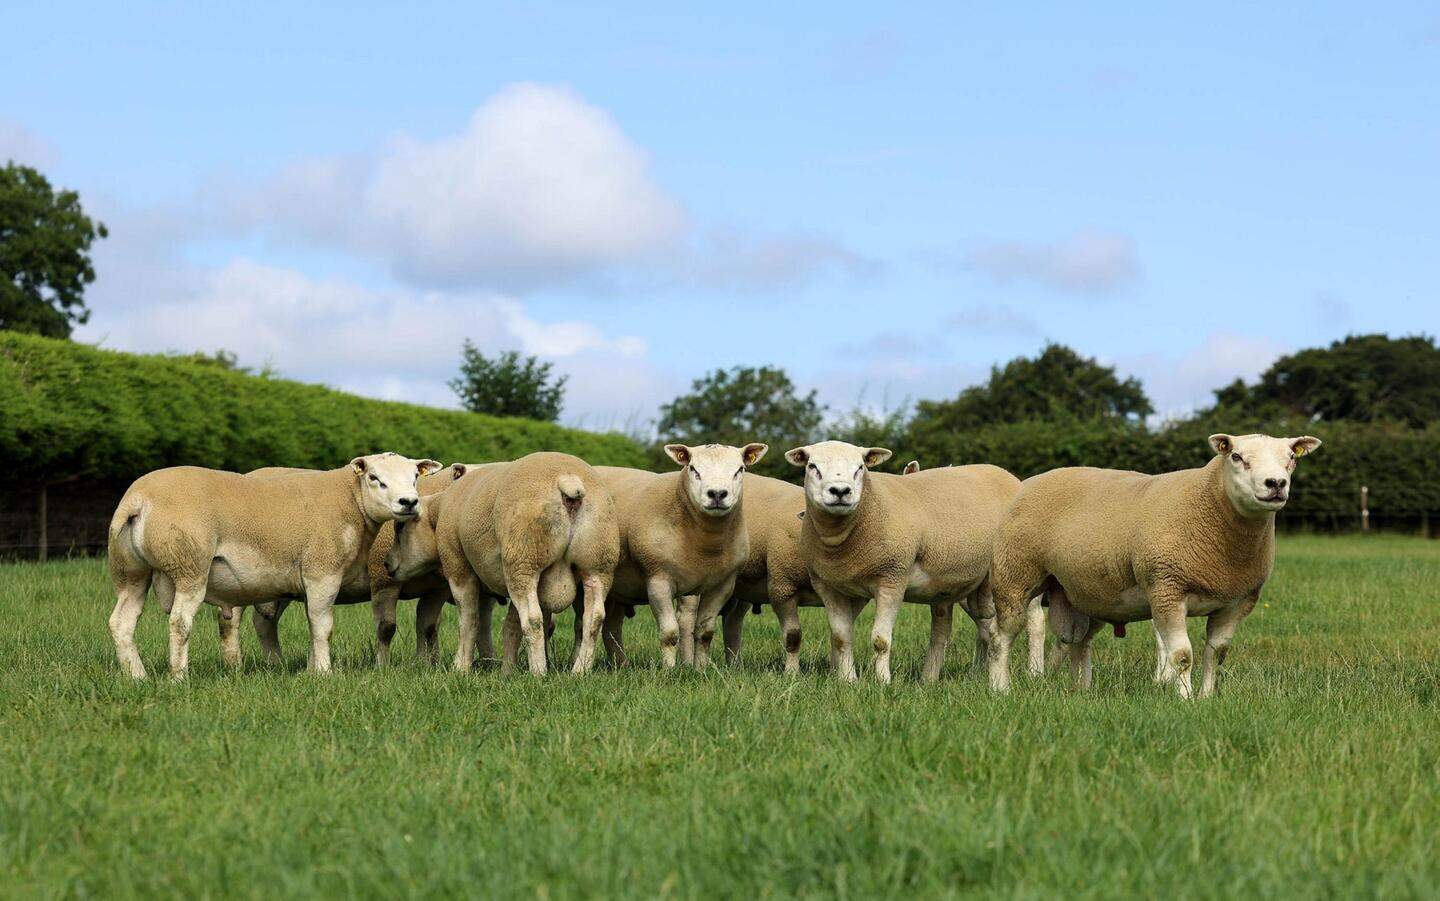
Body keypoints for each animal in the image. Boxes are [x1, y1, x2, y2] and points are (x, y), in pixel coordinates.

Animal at [106, 453, 442, 679]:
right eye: (375, 478)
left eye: (415, 477)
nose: (409, 503)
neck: (350, 500)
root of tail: (137, 499)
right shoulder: (323, 572)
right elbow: (324, 627)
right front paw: (324, 673)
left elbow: (313, 625)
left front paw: (310, 670)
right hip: (190, 566)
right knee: (180, 623)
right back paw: (178, 677)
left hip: (131, 572)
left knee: (122, 621)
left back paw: (137, 676)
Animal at [384, 452, 620, 675]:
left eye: (400, 527)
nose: (386, 564)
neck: (439, 511)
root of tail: (569, 480)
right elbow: (510, 627)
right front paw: (507, 671)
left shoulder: (459, 566)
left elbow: (469, 620)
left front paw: (460, 667)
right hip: (598, 563)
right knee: (593, 619)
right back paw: (579, 672)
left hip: (523, 560)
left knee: (533, 620)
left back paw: (539, 673)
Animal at [593, 442, 767, 669]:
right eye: (693, 469)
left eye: (740, 470)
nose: (717, 494)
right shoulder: (658, 580)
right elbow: (669, 633)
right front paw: (669, 670)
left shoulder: (723, 585)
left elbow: (705, 633)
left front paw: (700, 670)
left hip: (618, 590)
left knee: (612, 626)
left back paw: (622, 665)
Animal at [784, 441, 1027, 683]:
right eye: (812, 466)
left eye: (860, 467)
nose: (841, 491)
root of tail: (1004, 473)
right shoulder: (828, 586)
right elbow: (841, 638)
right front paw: (848, 681)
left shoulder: (892, 578)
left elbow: (880, 640)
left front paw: (883, 682)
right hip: (955, 587)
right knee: (970, 629)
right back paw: (941, 678)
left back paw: (1027, 672)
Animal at [986, 432, 1322, 698]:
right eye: (1237, 457)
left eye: (1291, 458)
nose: (1276, 483)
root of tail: (1031, 481)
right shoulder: (1167, 587)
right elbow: (1183, 655)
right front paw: (1185, 700)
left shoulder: (1237, 601)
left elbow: (1217, 653)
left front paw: (1206, 698)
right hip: (1015, 575)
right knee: (1002, 635)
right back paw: (1000, 687)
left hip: (1085, 591)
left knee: (1080, 643)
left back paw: (1081, 690)